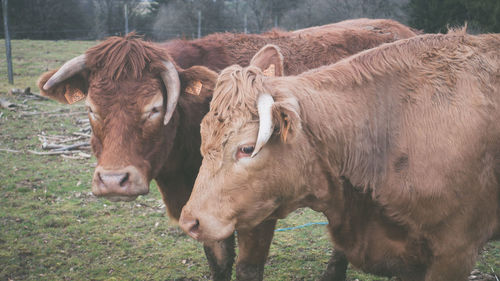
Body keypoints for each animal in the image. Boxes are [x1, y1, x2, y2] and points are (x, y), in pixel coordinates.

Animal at [37, 18, 416, 278]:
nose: (114, 181)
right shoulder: (200, 212)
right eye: (91, 108)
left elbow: (247, 268)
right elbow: (218, 262)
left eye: (154, 107)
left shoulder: (260, 211)